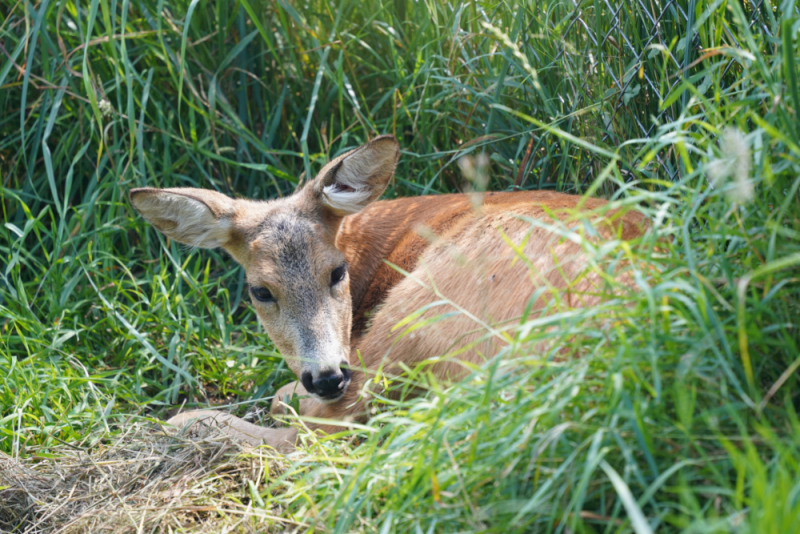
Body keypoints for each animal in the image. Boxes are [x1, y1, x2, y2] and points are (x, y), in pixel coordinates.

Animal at [130, 136, 644, 454]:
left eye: (337, 271)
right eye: (260, 291)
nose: (326, 376)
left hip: (419, 307)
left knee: (318, 433)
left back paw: (190, 420)